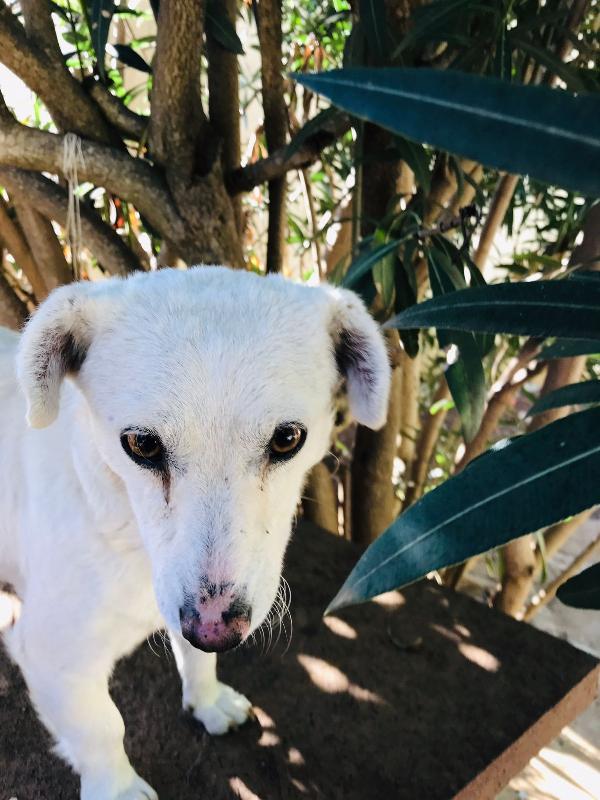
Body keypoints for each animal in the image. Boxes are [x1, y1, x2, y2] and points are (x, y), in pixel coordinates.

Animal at [0, 268, 392, 800]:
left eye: (288, 438)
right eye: (141, 444)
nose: (214, 630)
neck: (125, 535)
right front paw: (118, 788)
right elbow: (102, 727)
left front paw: (207, 701)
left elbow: (198, 660)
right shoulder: (51, 653)